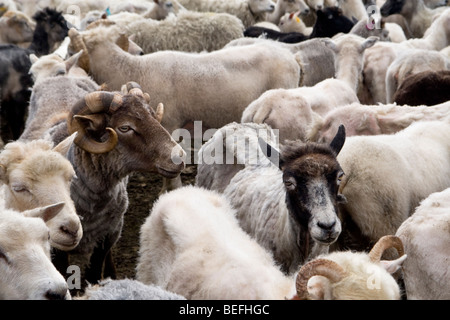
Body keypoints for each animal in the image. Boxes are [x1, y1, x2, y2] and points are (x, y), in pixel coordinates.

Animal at [20, 81, 186, 286]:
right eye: (125, 128)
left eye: (154, 116)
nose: (179, 157)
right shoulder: (57, 242)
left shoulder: (108, 234)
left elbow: (94, 272)